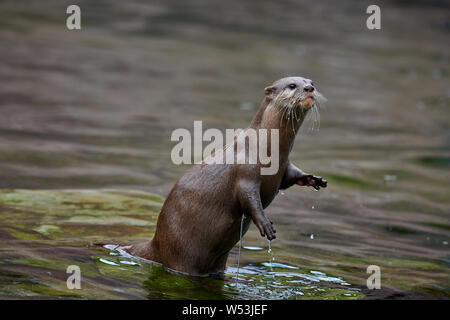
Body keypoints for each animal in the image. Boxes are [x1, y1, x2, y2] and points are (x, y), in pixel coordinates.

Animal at [126, 76, 326, 276]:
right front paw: (265, 224)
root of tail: (156, 243)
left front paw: (312, 179)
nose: (309, 88)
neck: (267, 149)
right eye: (292, 86)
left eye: (311, 82)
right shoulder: (246, 173)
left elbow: (291, 177)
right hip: (181, 253)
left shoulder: (284, 167)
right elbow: (249, 199)